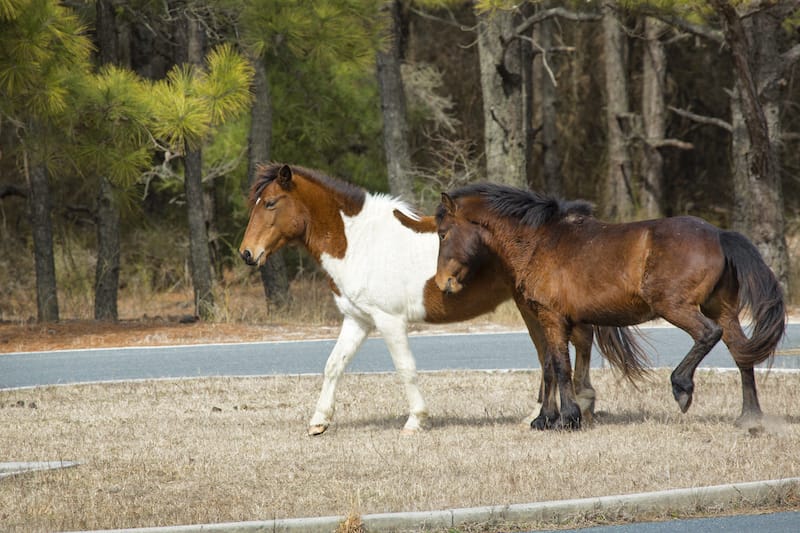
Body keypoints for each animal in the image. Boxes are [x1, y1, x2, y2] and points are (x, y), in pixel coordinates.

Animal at [236, 164, 644, 434]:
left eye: (270, 203)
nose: (247, 254)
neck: (360, 242)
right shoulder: (358, 320)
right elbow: (333, 365)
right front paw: (319, 421)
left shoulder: (389, 321)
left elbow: (406, 369)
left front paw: (416, 420)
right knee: (563, 347)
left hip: (534, 307)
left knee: (568, 346)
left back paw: (571, 407)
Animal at [434, 182, 784, 428]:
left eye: (442, 233)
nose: (443, 282)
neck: (538, 242)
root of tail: (720, 235)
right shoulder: (550, 319)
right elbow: (549, 364)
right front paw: (544, 419)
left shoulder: (552, 317)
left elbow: (560, 366)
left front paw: (567, 418)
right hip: (722, 309)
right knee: (741, 353)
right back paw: (749, 418)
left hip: (676, 307)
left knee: (708, 334)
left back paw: (682, 387)